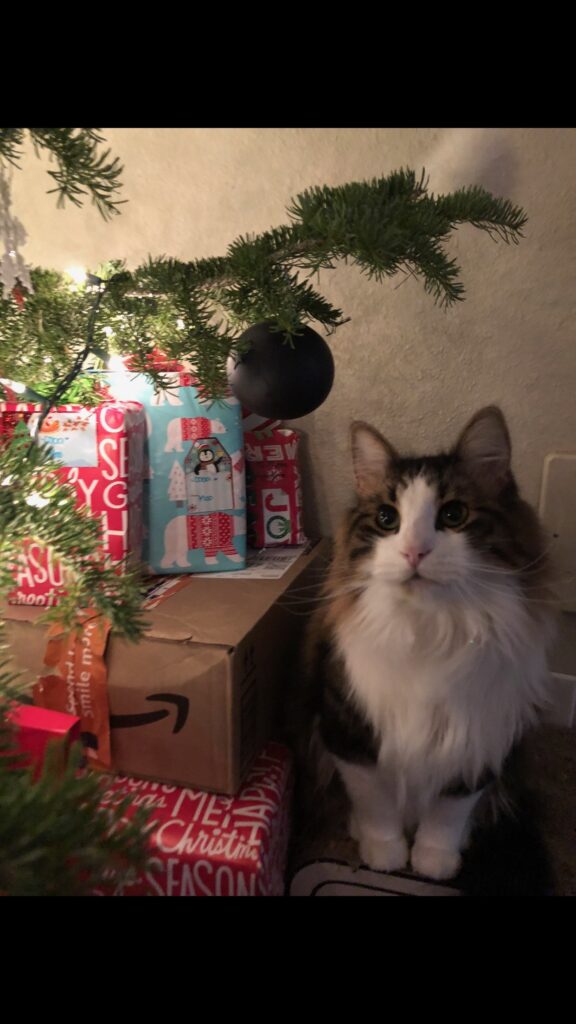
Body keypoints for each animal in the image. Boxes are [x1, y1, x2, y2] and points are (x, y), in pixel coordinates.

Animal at [303, 407, 553, 880]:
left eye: (454, 514)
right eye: (387, 519)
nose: (414, 552)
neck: (430, 629)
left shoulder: (479, 734)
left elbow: (449, 810)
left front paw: (434, 860)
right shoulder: (349, 728)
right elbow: (374, 801)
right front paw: (384, 852)